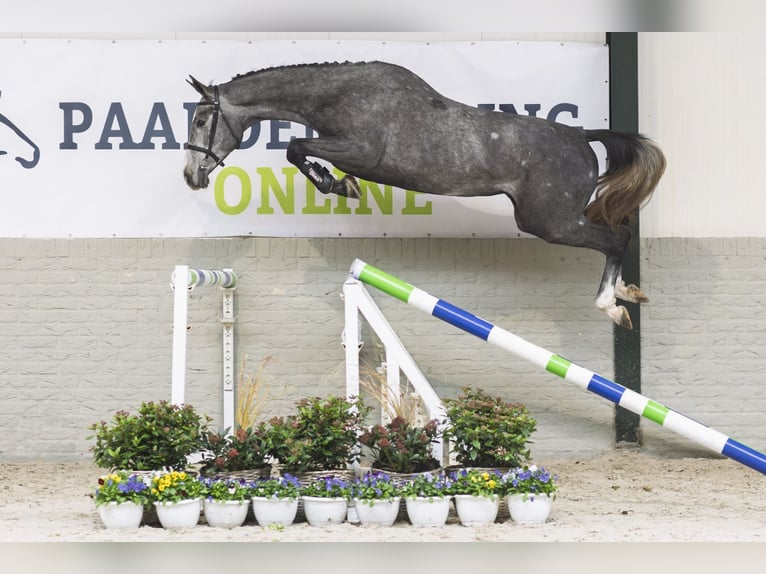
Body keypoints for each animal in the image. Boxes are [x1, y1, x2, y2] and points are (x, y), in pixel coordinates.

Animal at [184, 60, 664, 328]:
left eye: (202, 119)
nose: (191, 176)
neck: (338, 94)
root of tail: (583, 136)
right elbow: (298, 149)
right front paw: (339, 184)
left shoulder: (362, 151)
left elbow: (296, 148)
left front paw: (338, 185)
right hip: (554, 218)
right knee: (614, 236)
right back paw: (628, 293)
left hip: (549, 221)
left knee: (615, 239)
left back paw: (613, 306)